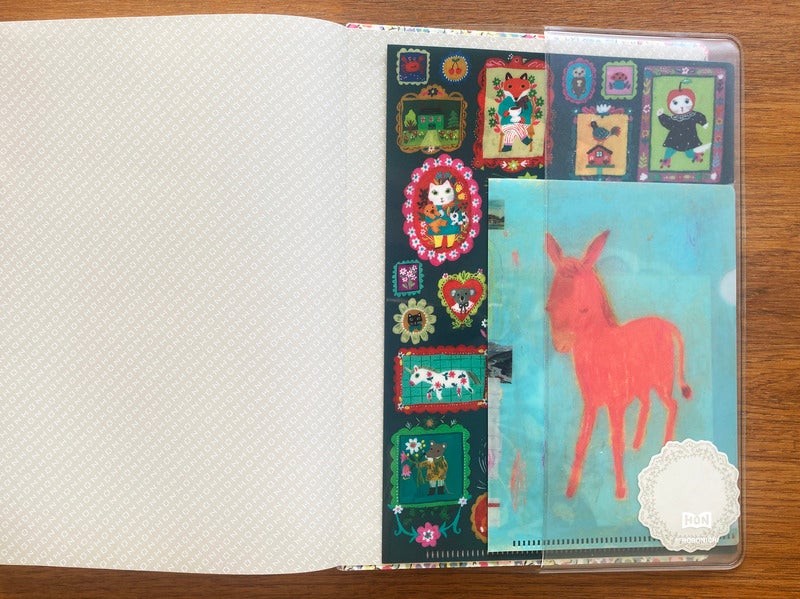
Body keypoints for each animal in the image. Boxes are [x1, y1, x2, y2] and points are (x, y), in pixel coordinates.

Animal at [544, 230, 692, 500]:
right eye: (548, 308)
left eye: (583, 310)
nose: (560, 344)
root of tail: (666, 324)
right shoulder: (591, 403)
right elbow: (581, 443)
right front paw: (570, 490)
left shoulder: (615, 404)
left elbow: (615, 442)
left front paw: (621, 491)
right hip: (643, 384)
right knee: (647, 404)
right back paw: (638, 444)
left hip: (662, 380)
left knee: (672, 405)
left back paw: (665, 447)